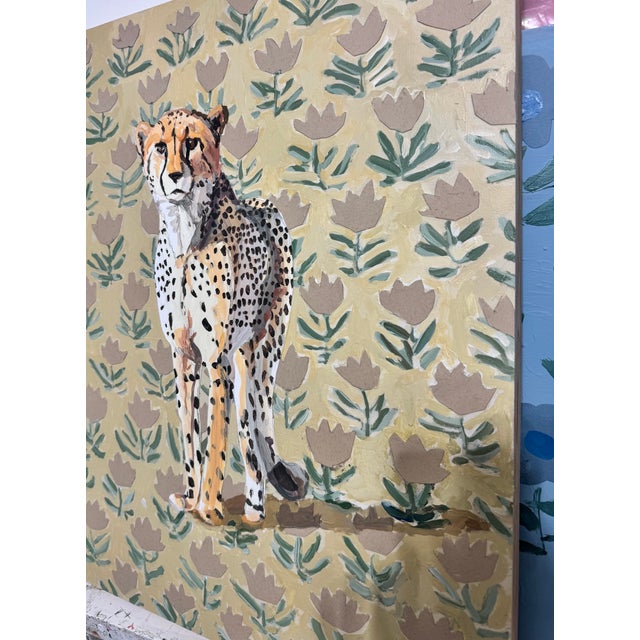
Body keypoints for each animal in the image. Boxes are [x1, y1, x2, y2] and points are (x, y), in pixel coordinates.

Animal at [134, 106, 308, 526]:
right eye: (160, 147)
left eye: (193, 142)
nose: (175, 175)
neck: (185, 237)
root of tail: (263, 204)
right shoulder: (183, 358)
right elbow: (189, 435)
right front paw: (190, 498)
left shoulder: (216, 360)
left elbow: (215, 439)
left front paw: (209, 507)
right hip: (242, 359)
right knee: (248, 429)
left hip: (263, 353)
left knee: (254, 425)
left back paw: (254, 507)